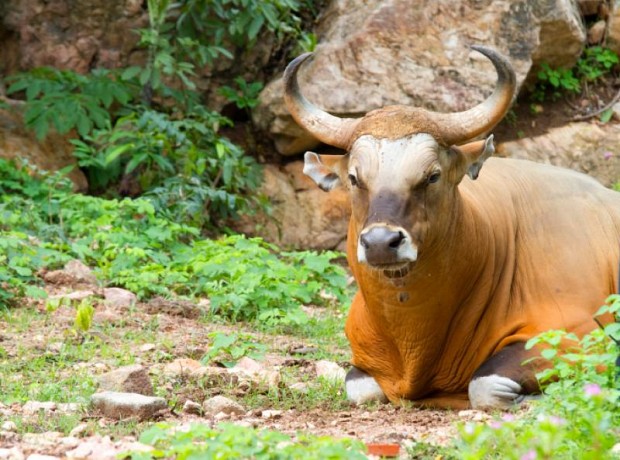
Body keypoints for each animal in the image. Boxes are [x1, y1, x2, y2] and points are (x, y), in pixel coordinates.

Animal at [284, 46, 620, 410]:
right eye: (354, 178)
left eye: (432, 175)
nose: (381, 243)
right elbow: (360, 389)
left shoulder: (578, 333)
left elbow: (484, 383)